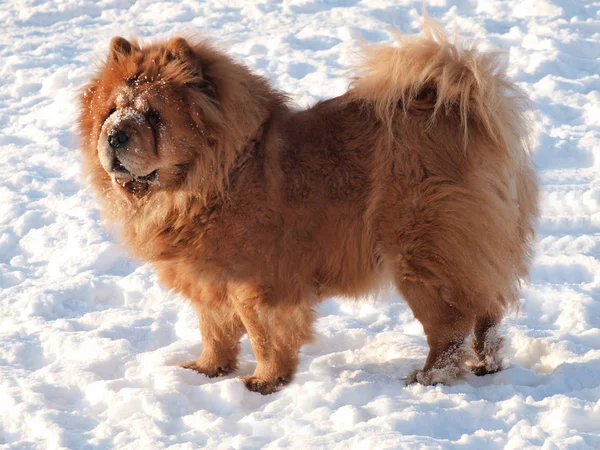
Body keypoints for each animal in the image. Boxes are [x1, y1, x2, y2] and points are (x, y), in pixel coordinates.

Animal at [79, 16, 540, 390]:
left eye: (153, 115)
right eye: (111, 110)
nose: (115, 134)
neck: (220, 174)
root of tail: (457, 111)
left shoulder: (257, 283)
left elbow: (264, 335)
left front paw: (264, 381)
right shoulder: (208, 280)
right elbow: (215, 330)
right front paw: (206, 369)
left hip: (418, 253)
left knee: (450, 324)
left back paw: (429, 377)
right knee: (487, 313)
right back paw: (485, 364)